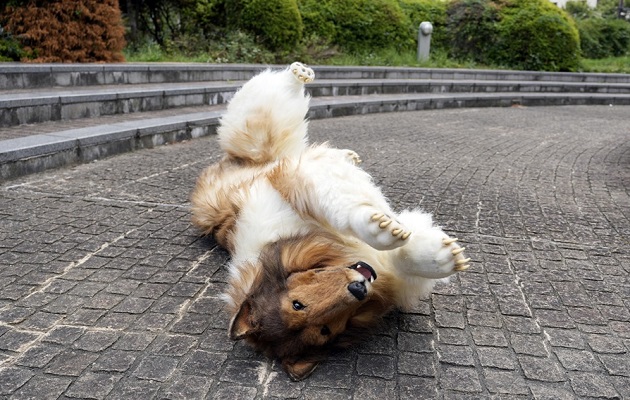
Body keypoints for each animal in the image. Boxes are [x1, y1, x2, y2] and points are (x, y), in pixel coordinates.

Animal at [190, 62, 472, 382]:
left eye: (297, 303)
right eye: (324, 330)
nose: (358, 290)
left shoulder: (293, 187)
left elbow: (343, 206)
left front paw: (384, 228)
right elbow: (405, 260)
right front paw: (443, 256)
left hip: (260, 145)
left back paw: (299, 76)